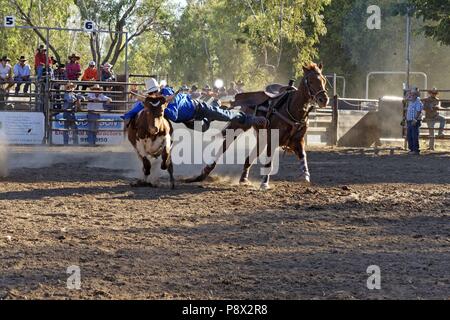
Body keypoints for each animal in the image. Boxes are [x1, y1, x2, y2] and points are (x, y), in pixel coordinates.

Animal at [185, 62, 328, 189]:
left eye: (324, 80)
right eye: (310, 81)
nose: (324, 99)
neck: (291, 108)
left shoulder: (298, 140)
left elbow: (303, 156)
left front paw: (305, 176)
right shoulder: (272, 139)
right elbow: (269, 162)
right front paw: (264, 183)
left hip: (261, 138)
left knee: (250, 157)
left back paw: (243, 179)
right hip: (238, 128)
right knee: (224, 146)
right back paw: (206, 171)